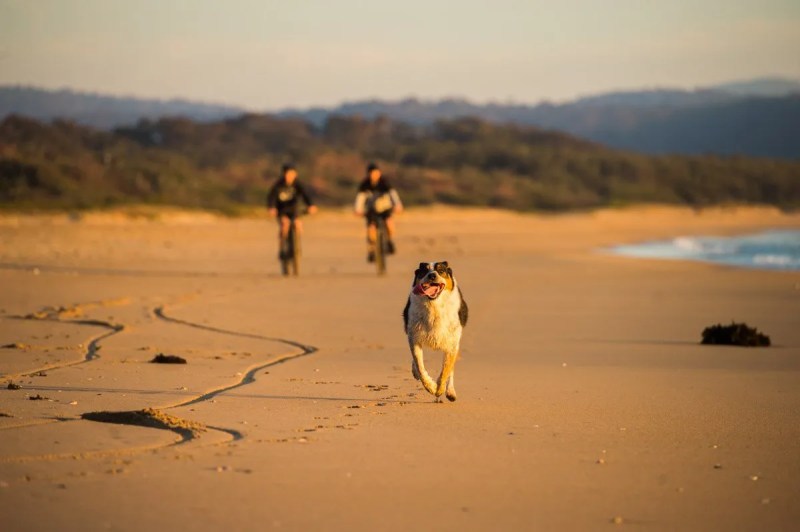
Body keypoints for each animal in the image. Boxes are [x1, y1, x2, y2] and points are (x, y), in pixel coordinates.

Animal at [400, 260, 468, 402]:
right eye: (424, 271)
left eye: (441, 270)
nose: (432, 275)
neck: (434, 306)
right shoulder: (414, 337)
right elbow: (420, 366)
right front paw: (431, 387)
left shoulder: (452, 343)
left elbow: (446, 369)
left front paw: (440, 390)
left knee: (451, 367)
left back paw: (450, 392)